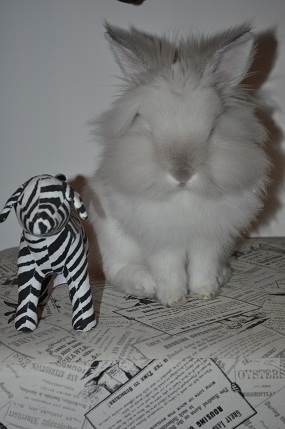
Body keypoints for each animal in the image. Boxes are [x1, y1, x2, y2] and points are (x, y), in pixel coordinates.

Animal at [86, 21, 268, 306]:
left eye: (212, 131)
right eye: (150, 131)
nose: (182, 174)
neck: (184, 197)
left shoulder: (208, 240)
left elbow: (203, 266)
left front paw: (205, 292)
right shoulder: (162, 242)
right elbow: (168, 269)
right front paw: (173, 298)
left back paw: (222, 275)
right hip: (112, 237)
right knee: (114, 270)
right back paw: (144, 284)